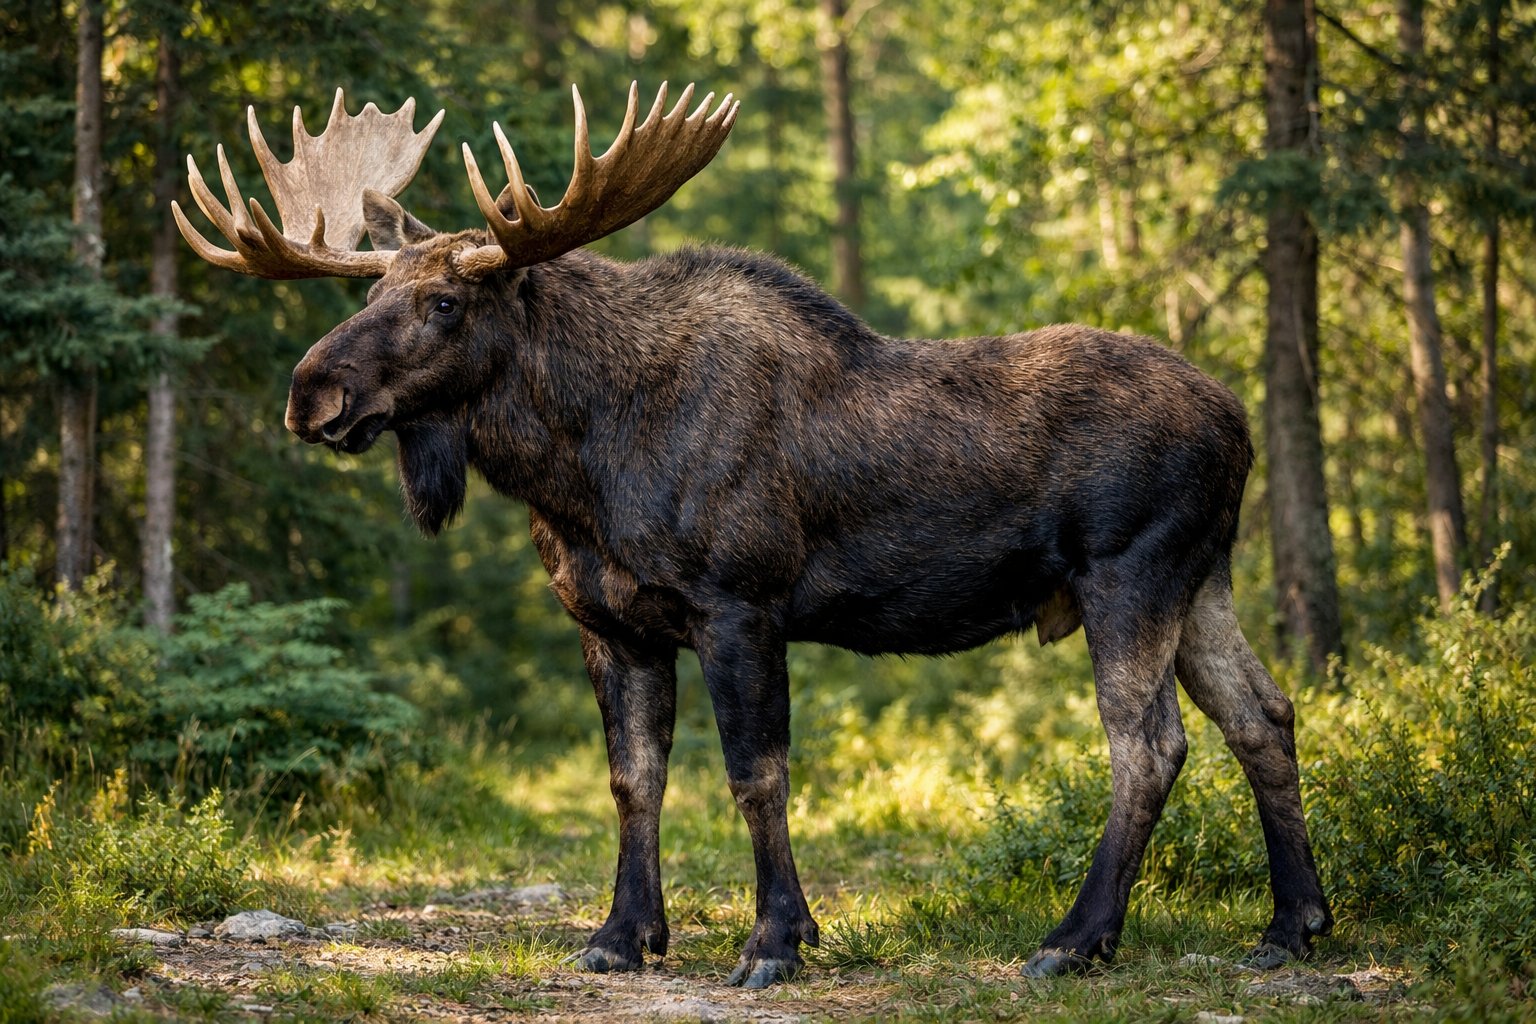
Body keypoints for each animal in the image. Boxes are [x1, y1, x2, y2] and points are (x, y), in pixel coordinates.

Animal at [174, 83, 1332, 987]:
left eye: (449, 302)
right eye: (374, 286)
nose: (312, 393)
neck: (578, 470)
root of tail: (1239, 425)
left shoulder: (740, 603)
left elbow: (754, 773)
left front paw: (776, 940)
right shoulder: (612, 623)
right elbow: (634, 779)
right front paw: (622, 935)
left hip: (1129, 573)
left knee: (1149, 744)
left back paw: (1075, 938)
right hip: (1203, 578)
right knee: (1263, 713)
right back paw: (1292, 924)